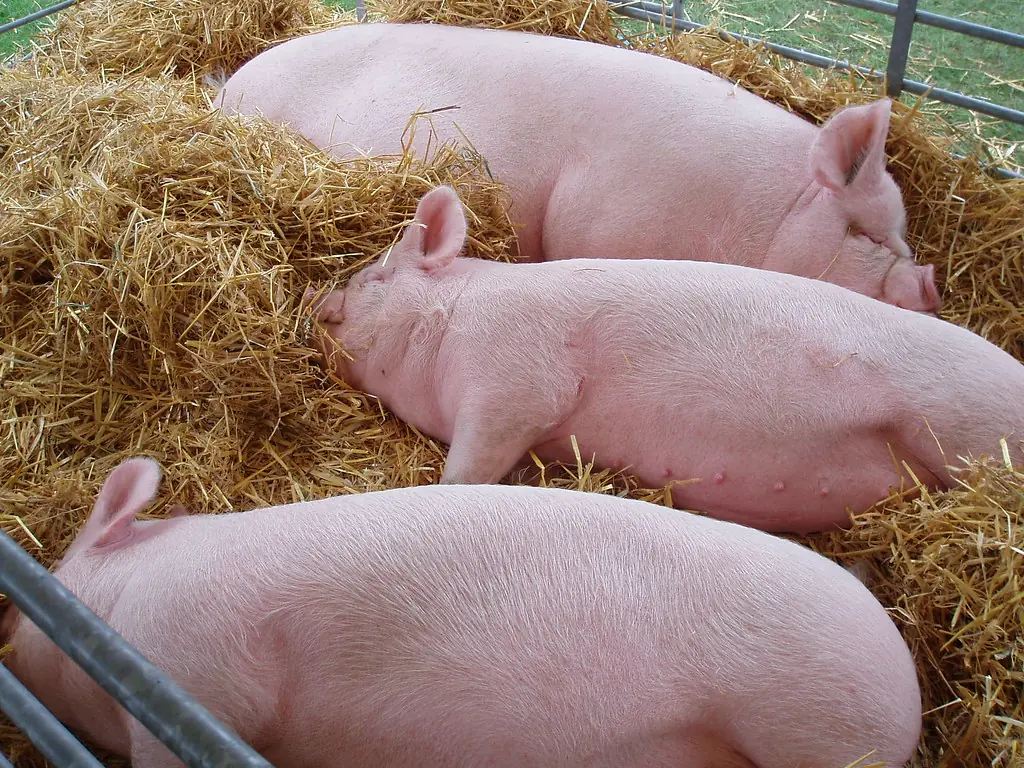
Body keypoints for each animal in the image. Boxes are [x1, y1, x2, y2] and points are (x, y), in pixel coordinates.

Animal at [302, 185, 1024, 535]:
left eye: (373, 279)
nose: (318, 302)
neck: (452, 320)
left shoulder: (514, 382)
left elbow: (470, 466)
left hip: (968, 432)